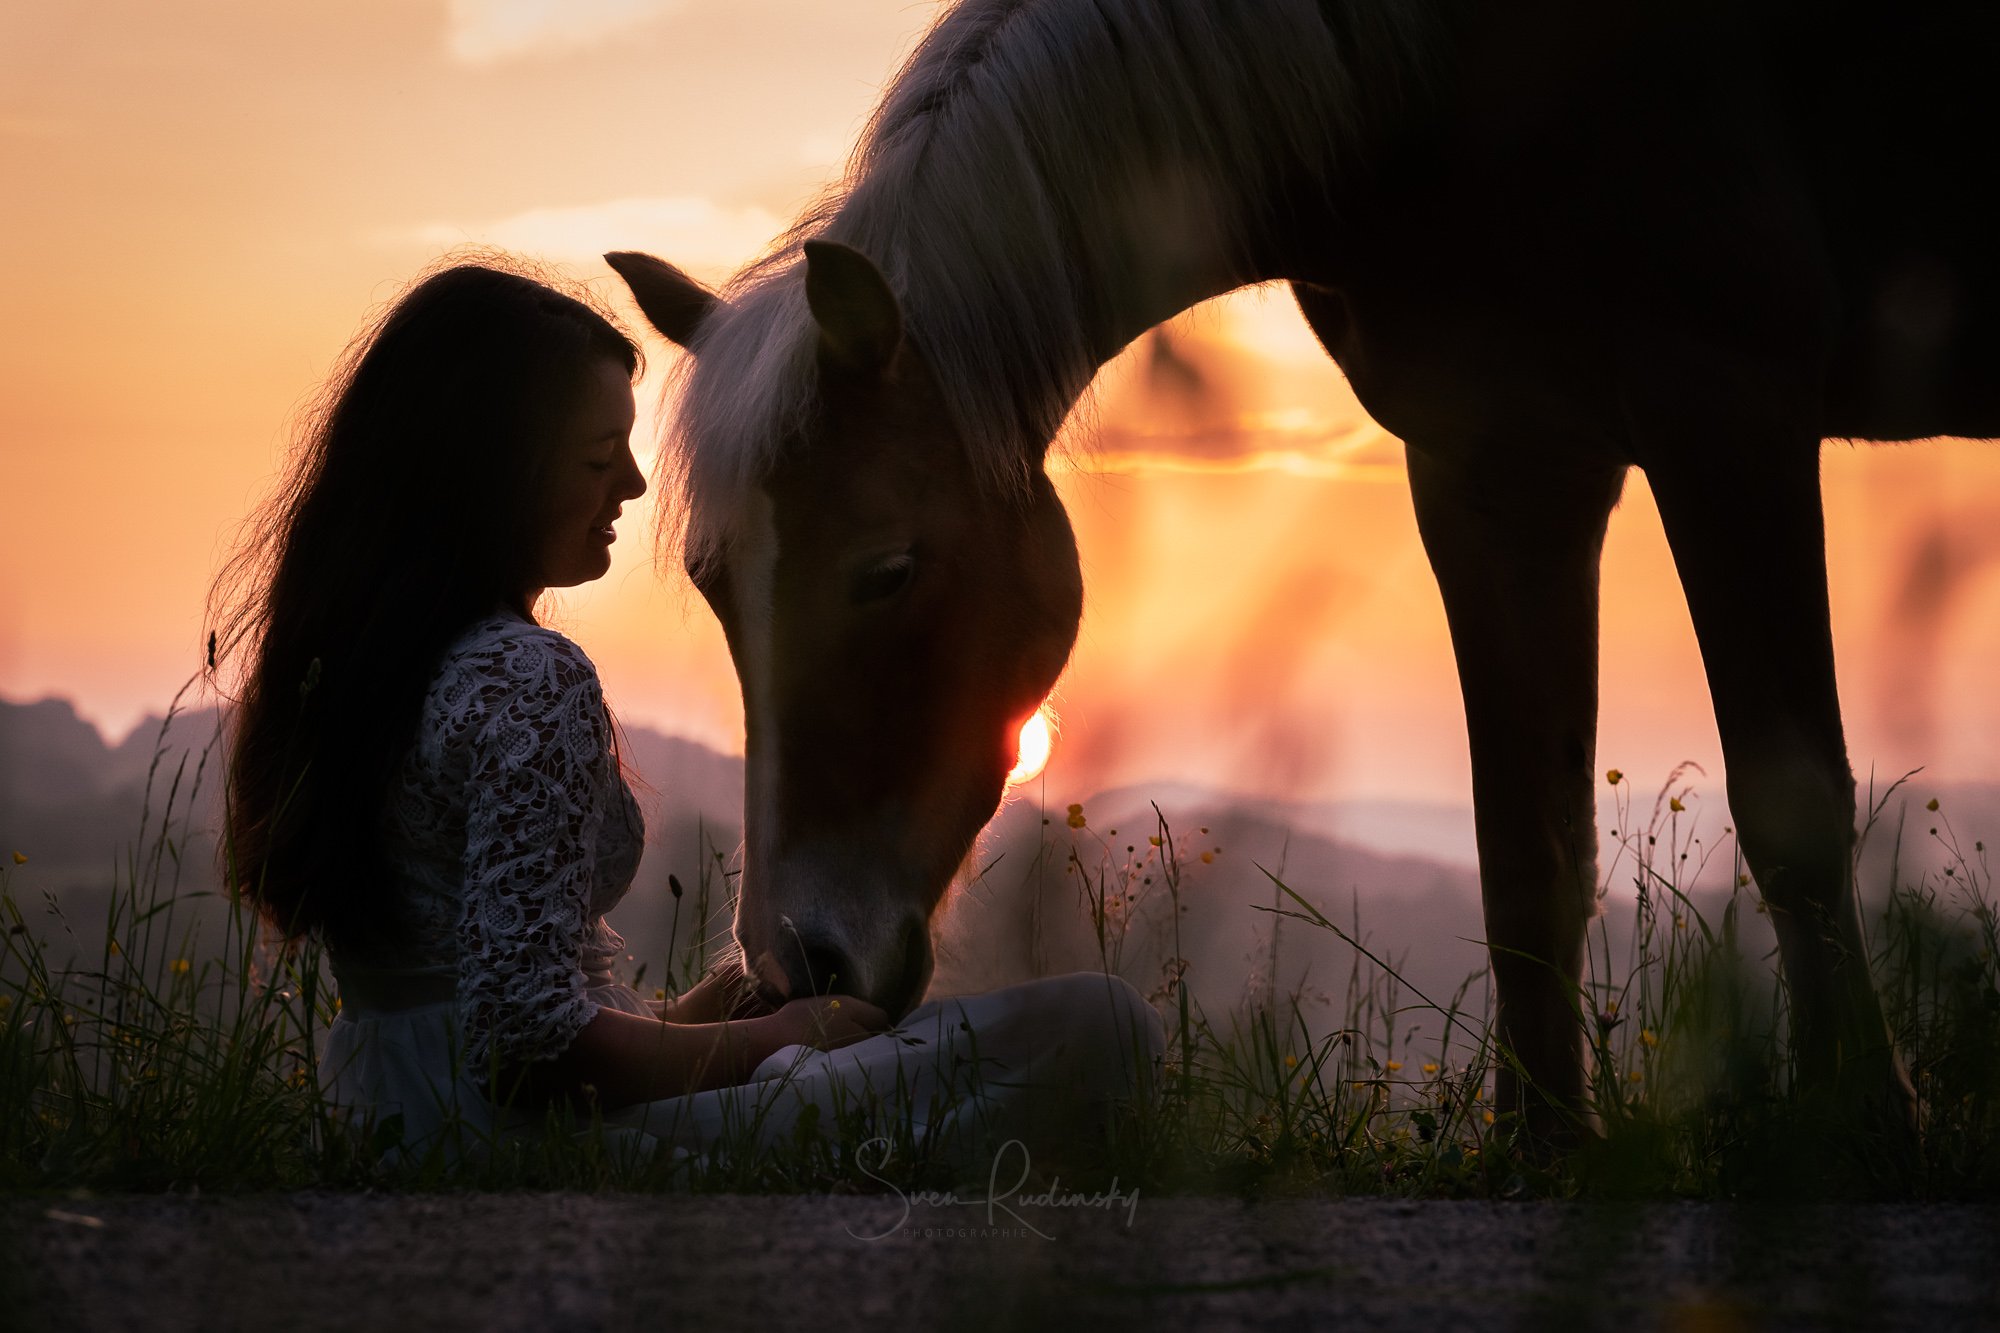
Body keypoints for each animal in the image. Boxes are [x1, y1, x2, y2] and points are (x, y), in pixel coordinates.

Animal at [609, 0, 1997, 1138]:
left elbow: (1787, 805)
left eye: (887, 568)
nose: (797, 967)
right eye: (715, 584)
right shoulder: (1493, 464)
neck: (1450, 79)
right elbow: (1524, 841)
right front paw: (1543, 1151)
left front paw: (1859, 1125)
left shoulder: (1725, 408)